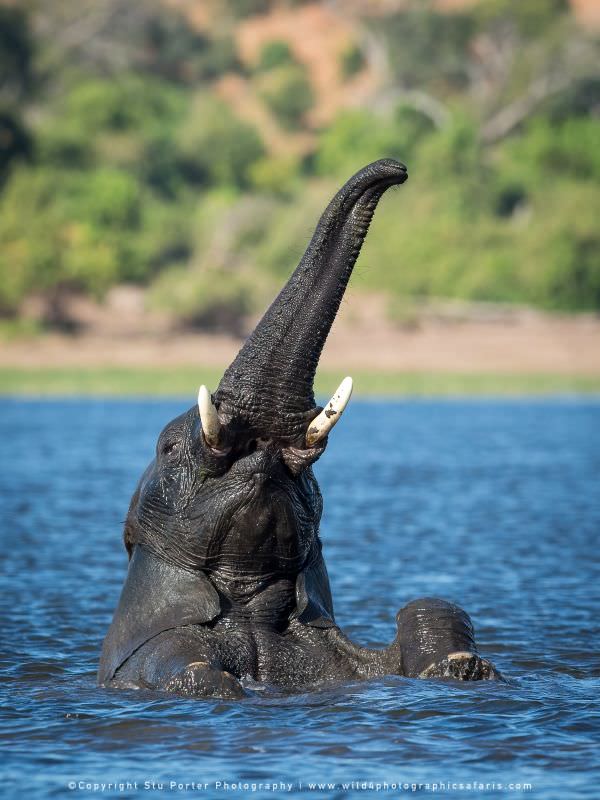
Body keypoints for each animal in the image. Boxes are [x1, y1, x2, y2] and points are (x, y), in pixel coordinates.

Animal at [99, 159, 502, 696]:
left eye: (311, 475)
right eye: (166, 447)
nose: (395, 171)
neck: (252, 607)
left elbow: (432, 620)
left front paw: (458, 661)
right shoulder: (158, 655)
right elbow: (193, 670)